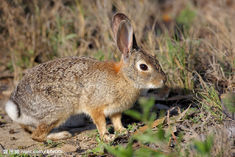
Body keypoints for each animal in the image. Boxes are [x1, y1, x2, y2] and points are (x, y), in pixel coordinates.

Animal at [4, 12, 166, 142]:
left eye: (156, 60)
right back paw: (61, 135)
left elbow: (117, 121)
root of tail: (19, 106)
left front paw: (122, 131)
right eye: (143, 67)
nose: (163, 80)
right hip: (59, 110)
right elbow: (100, 122)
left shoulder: (115, 110)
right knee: (37, 135)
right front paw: (107, 137)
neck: (125, 78)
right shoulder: (96, 107)